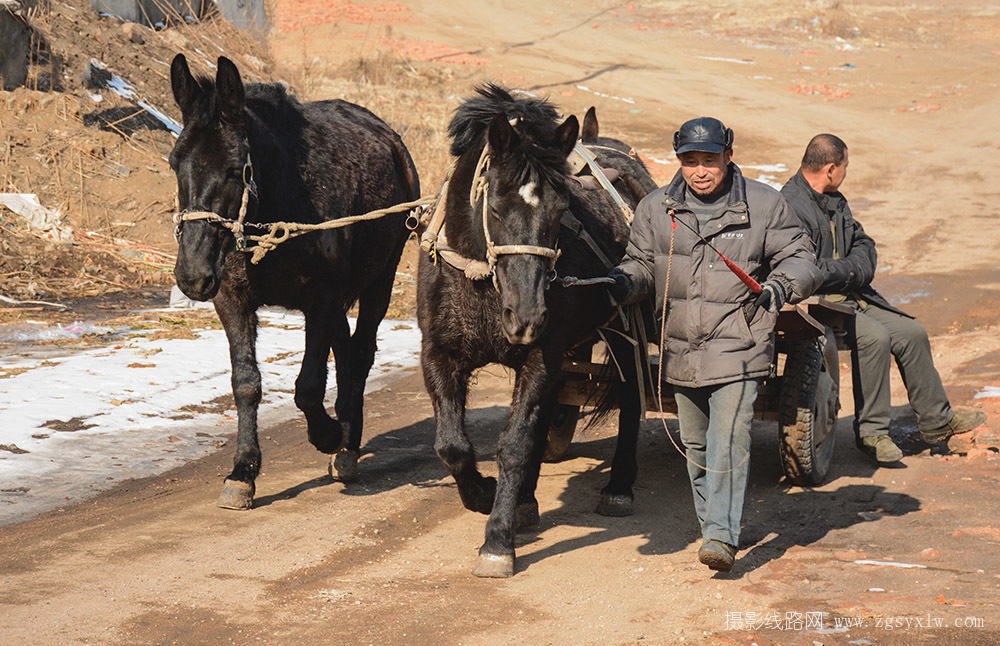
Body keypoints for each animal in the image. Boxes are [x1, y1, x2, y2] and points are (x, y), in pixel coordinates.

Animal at [168, 55, 418, 512]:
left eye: (236, 170)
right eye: (176, 162)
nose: (192, 275)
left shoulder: (321, 299)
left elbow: (307, 387)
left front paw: (329, 434)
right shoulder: (232, 300)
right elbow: (246, 383)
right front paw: (243, 470)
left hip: (381, 282)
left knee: (360, 354)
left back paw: (347, 445)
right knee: (347, 351)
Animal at [418, 85, 644, 576]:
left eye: (562, 210)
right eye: (496, 206)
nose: (527, 317)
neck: (482, 280)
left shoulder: (543, 354)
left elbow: (516, 444)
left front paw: (497, 541)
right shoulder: (439, 353)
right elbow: (451, 446)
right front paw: (485, 494)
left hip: (624, 326)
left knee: (632, 395)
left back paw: (619, 486)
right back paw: (525, 499)